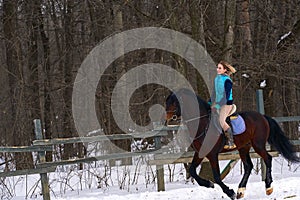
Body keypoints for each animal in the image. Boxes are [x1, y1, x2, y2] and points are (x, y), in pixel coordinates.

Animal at [165, 89, 298, 200]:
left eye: (174, 103)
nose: (167, 120)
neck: (202, 124)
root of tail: (262, 117)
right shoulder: (200, 153)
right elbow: (192, 170)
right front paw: (208, 184)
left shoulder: (212, 155)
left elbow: (217, 177)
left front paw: (230, 192)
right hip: (244, 147)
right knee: (248, 166)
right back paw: (241, 191)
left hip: (258, 145)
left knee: (268, 159)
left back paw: (268, 187)